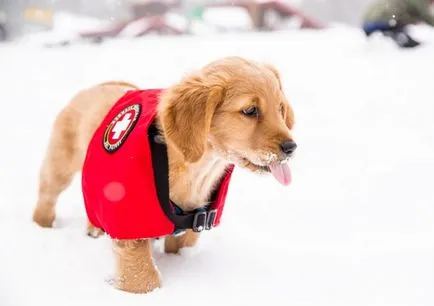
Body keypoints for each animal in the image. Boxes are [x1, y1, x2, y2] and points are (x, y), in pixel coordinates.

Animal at [32, 56, 296, 292]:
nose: (291, 147)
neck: (196, 171)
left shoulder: (189, 230)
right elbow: (146, 280)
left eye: (280, 108)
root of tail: (98, 86)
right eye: (250, 110)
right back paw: (42, 226)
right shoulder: (131, 231)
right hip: (60, 164)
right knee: (47, 194)